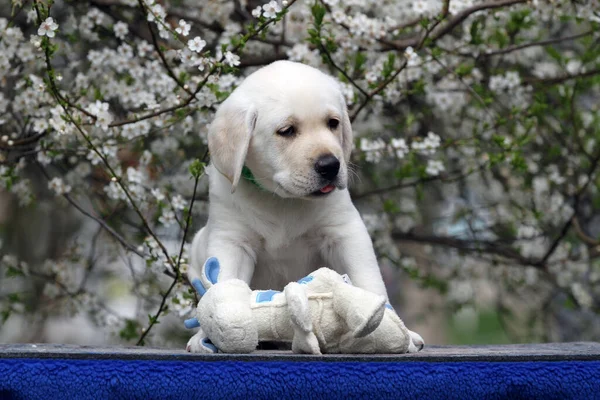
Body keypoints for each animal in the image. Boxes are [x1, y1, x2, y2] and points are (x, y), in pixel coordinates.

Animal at [188, 60, 422, 354]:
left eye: (333, 123)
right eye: (287, 131)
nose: (330, 165)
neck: (282, 200)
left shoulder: (345, 233)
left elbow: (369, 280)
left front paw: (392, 328)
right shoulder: (231, 241)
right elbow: (224, 282)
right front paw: (215, 332)